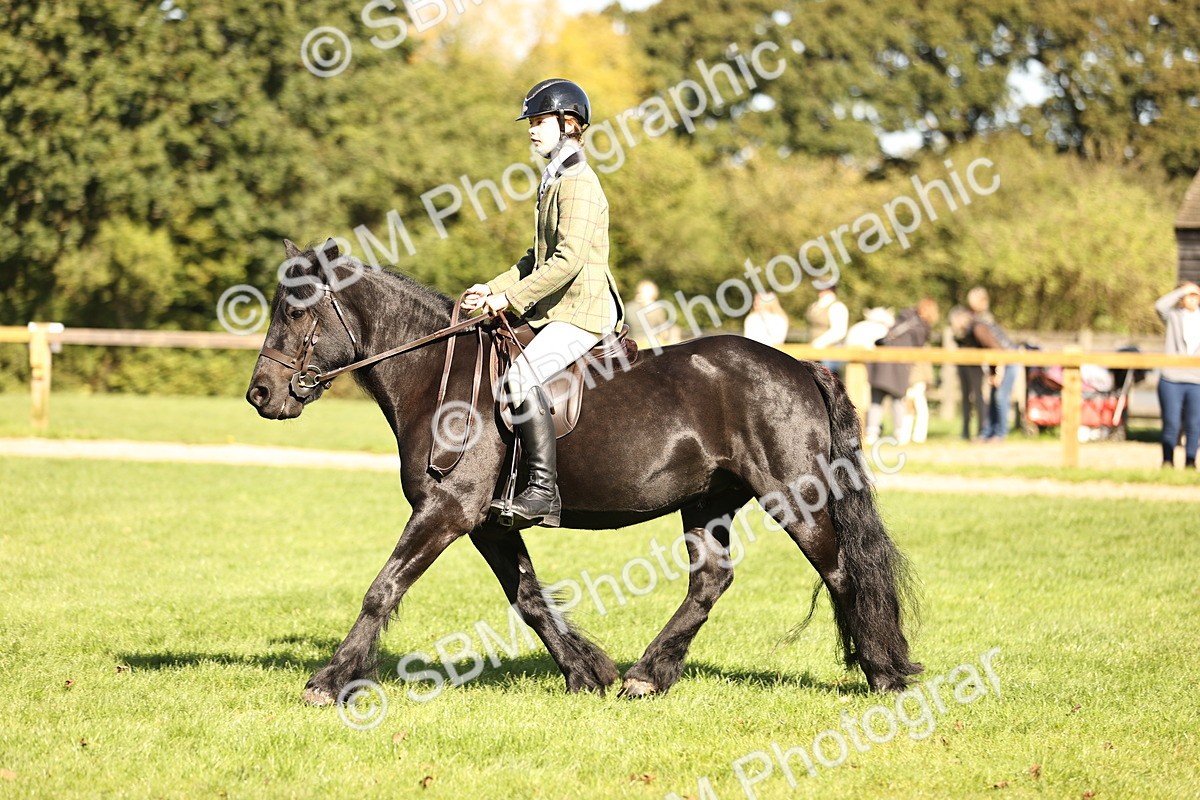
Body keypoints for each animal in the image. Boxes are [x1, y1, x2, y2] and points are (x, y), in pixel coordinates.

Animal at [245, 239, 921, 706]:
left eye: (297, 311)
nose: (261, 394)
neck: (436, 374)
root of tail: (800, 366)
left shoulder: (447, 510)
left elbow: (382, 588)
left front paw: (330, 680)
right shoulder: (486, 522)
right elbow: (529, 598)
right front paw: (585, 672)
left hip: (793, 496)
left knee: (841, 571)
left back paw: (884, 672)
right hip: (709, 500)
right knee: (711, 581)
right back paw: (647, 676)